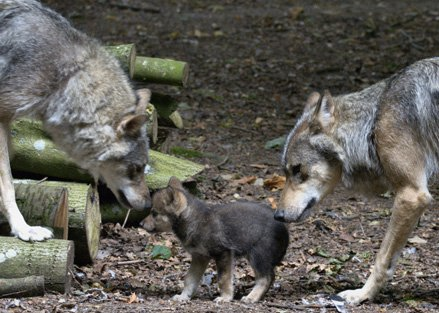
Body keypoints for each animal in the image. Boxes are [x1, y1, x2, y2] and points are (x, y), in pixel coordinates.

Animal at [0, 0, 151, 241]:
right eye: (136, 168)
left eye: (143, 168)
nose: (148, 205)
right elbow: (7, 184)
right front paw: (23, 229)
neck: (66, 76)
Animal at [143, 177, 290, 302]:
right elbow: (190, 279)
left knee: (265, 278)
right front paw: (183, 297)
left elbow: (223, 279)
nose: (140, 224)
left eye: (154, 213)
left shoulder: (223, 253)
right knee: (270, 277)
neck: (193, 220)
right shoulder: (200, 256)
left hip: (258, 255)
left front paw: (225, 298)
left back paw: (251, 298)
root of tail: (284, 228)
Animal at [276, 57, 439, 304]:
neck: (374, 118)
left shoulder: (412, 195)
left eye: (297, 169)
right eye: (285, 172)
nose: (278, 215)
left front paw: (361, 295)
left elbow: (382, 260)